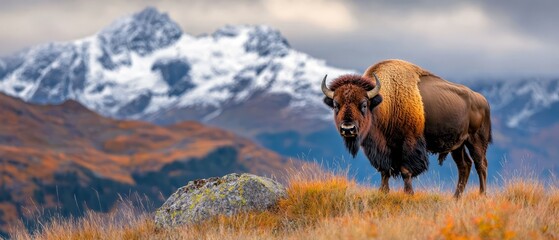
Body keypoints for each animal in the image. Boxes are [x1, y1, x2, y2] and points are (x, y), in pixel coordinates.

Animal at [322, 59, 492, 197]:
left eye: (363, 104)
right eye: (336, 105)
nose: (348, 128)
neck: (385, 103)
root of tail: (482, 100)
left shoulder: (409, 143)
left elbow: (405, 170)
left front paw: (409, 193)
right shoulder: (383, 148)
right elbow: (385, 170)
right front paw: (383, 192)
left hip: (475, 141)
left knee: (480, 164)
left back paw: (482, 195)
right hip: (457, 146)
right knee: (464, 166)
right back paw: (456, 197)